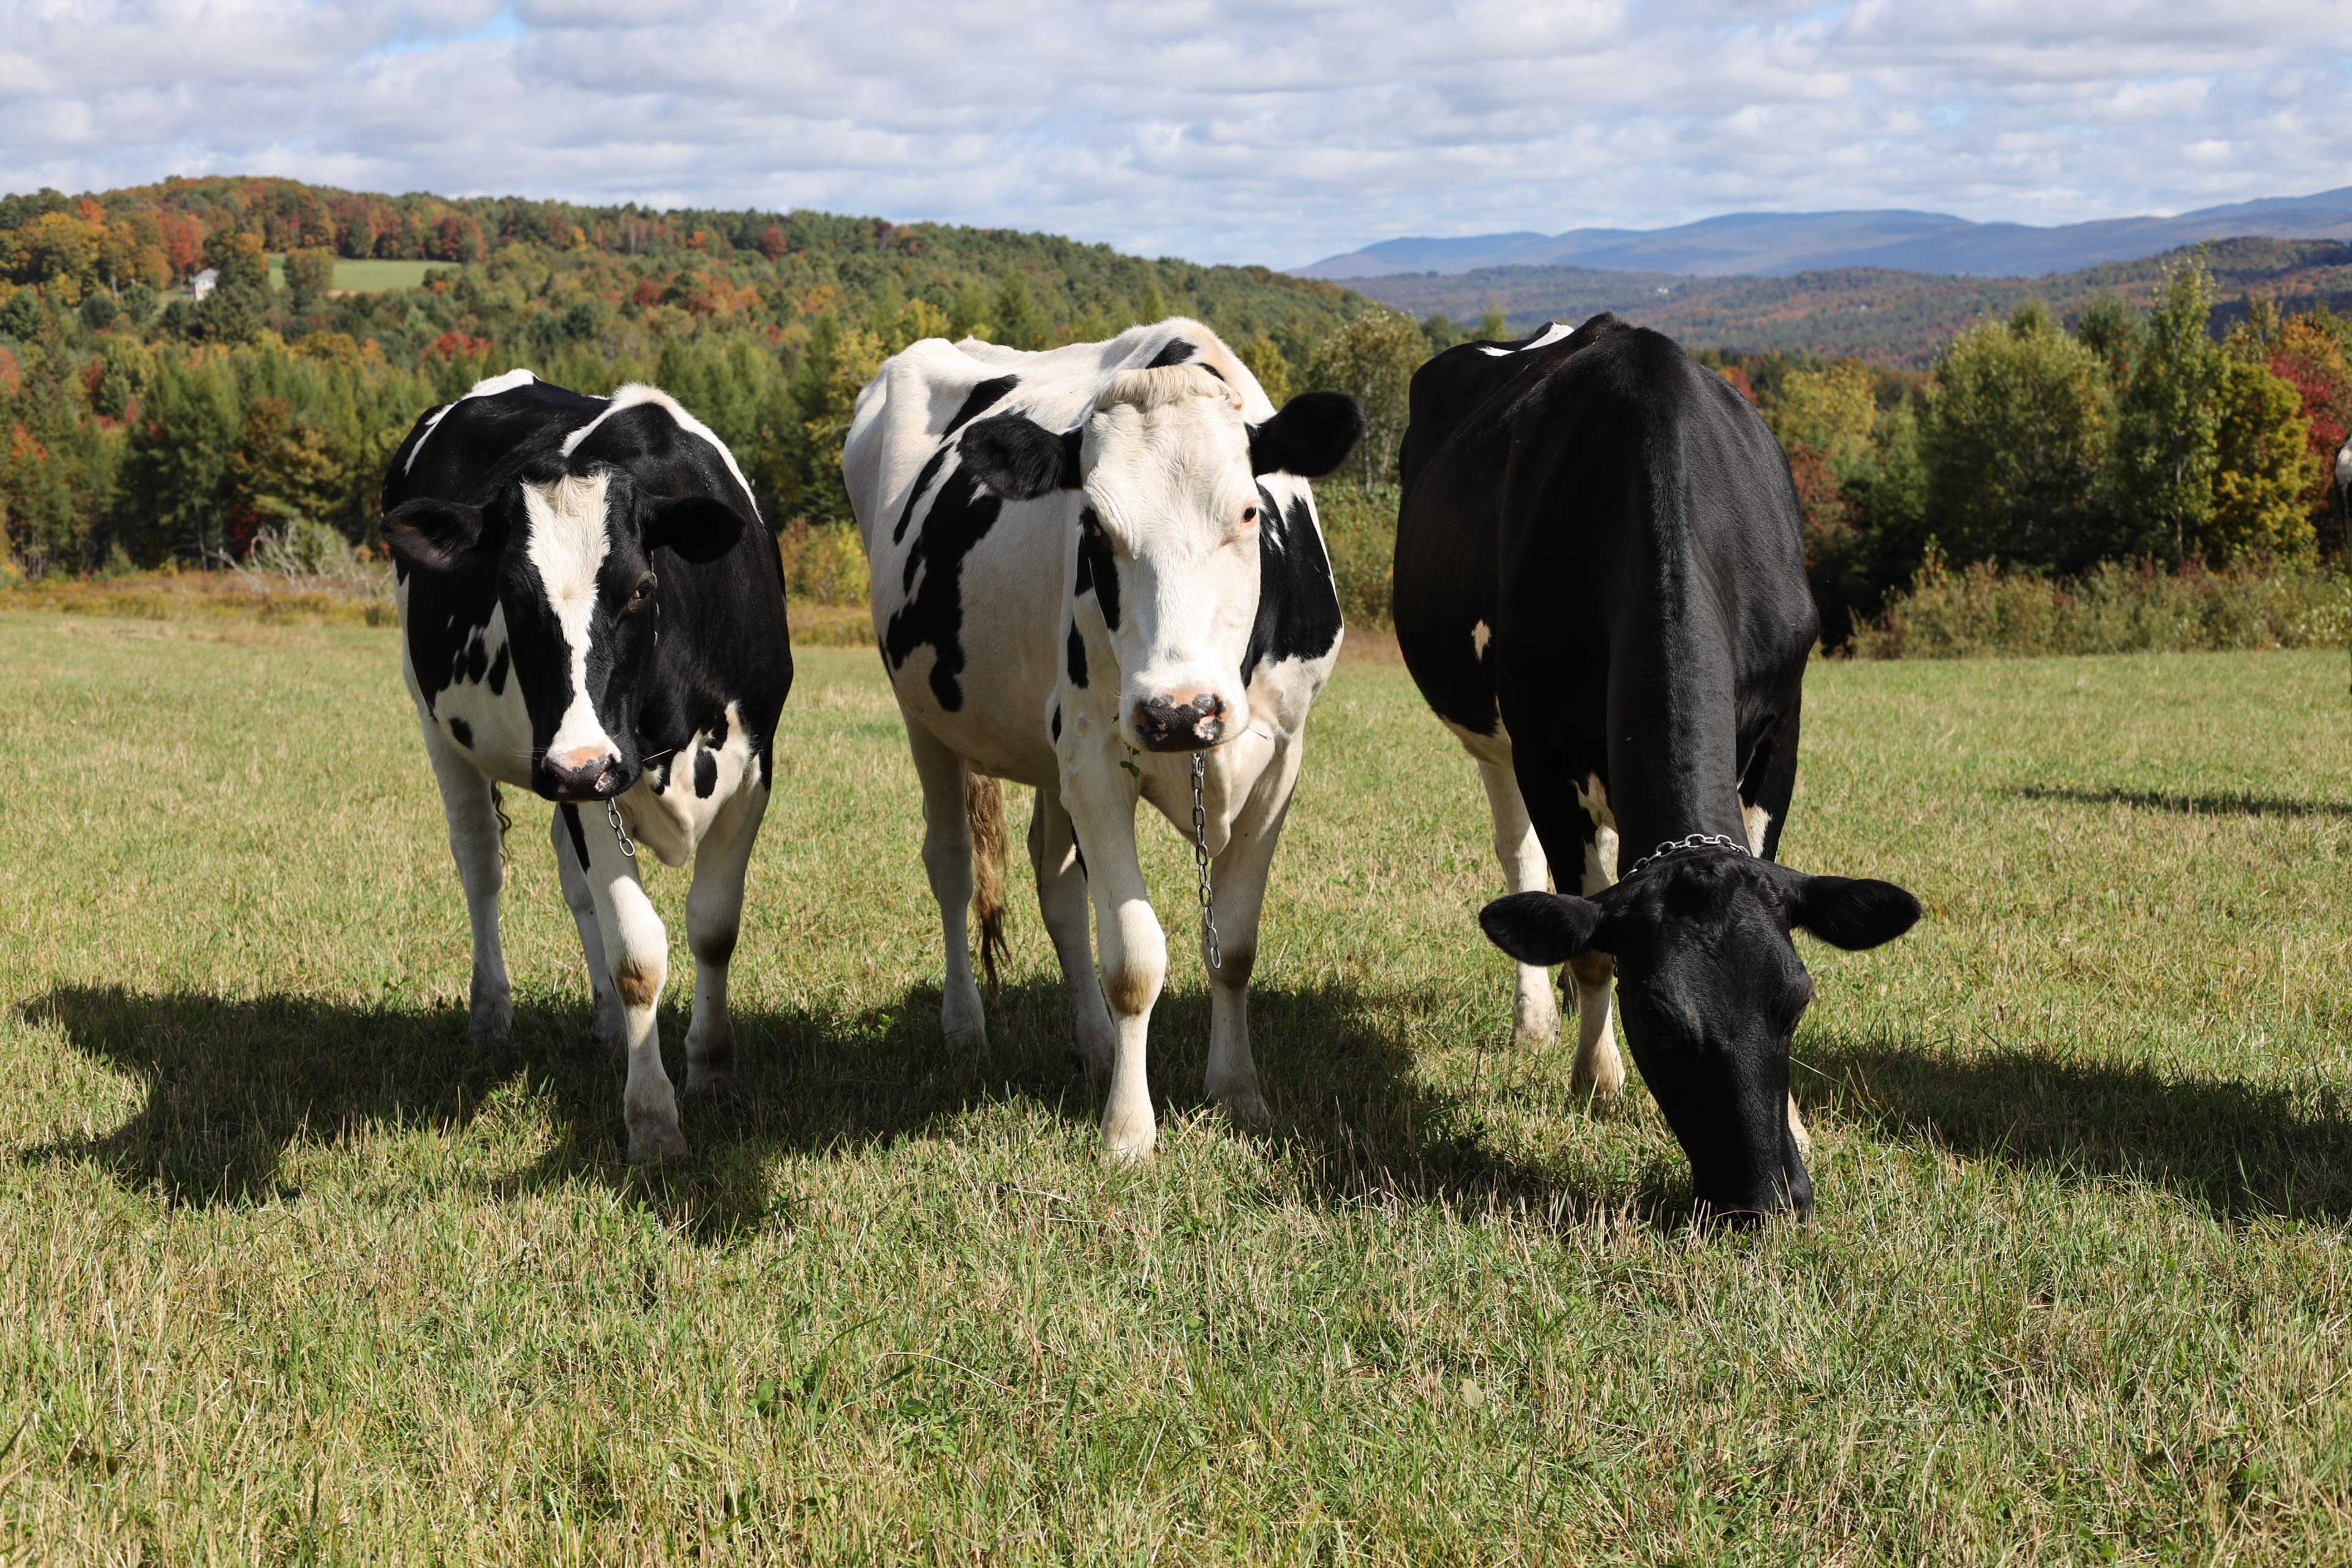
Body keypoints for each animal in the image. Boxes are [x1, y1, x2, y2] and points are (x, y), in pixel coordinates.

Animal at [382, 370, 793, 1163]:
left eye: (639, 587)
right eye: (511, 594)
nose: (576, 767)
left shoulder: (751, 770)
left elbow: (712, 928)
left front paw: (712, 1068)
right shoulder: (594, 784)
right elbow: (637, 953)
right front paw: (653, 1119)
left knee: (574, 888)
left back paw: (605, 1024)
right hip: (436, 724)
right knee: (481, 865)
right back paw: (491, 1014)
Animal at [842, 319, 1361, 1160]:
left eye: (1250, 514)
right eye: (1093, 526)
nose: (1180, 713)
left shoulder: (1280, 760)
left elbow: (1235, 947)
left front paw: (1237, 1090)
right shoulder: (1092, 756)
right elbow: (1134, 960)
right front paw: (1128, 1129)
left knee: (1055, 884)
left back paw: (1091, 1043)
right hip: (926, 717)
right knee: (952, 866)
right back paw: (965, 1027)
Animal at [1393, 315, 1920, 1220]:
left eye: (1798, 1000)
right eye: (1663, 1024)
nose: (1771, 1202)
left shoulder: (1783, 725)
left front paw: (1799, 1121)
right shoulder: (1540, 743)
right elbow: (1590, 943)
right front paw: (1596, 1079)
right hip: (1488, 736)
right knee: (1523, 859)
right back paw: (1539, 1017)